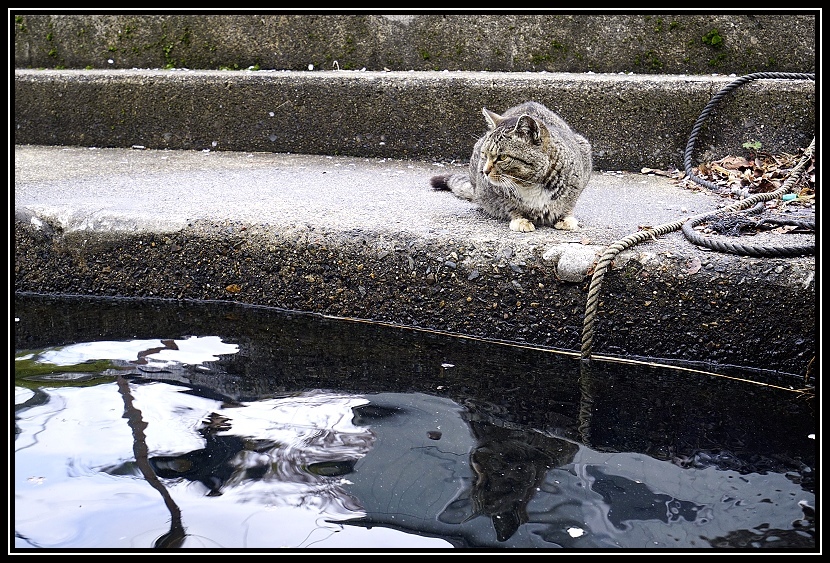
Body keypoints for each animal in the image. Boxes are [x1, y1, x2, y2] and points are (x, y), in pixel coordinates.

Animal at [432, 101, 596, 231]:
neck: (529, 183)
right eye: (484, 154)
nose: (484, 171)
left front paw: (565, 219)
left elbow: (568, 205)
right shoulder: (493, 193)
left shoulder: (577, 181)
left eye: (502, 157)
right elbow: (510, 206)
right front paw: (520, 220)